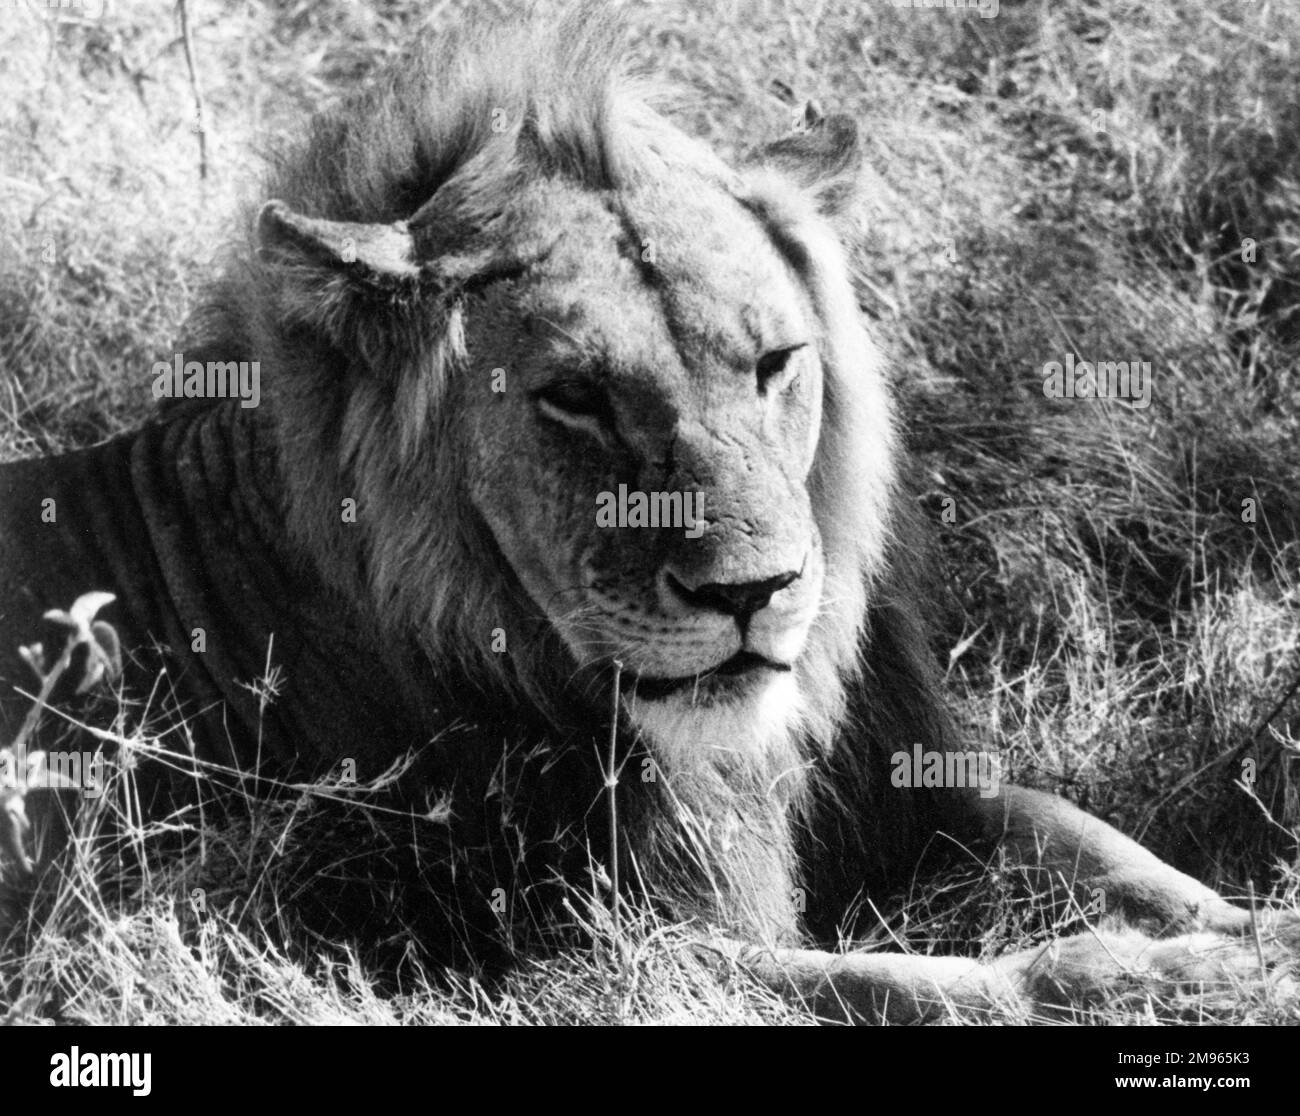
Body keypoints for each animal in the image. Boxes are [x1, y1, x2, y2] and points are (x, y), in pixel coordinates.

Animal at [0, 6, 1284, 1019]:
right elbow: (935, 981)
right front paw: (1189, 979)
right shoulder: (578, 951)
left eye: (774, 363)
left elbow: (1086, 833)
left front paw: (1248, 925)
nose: (752, 595)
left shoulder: (892, 789)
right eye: (573, 398)